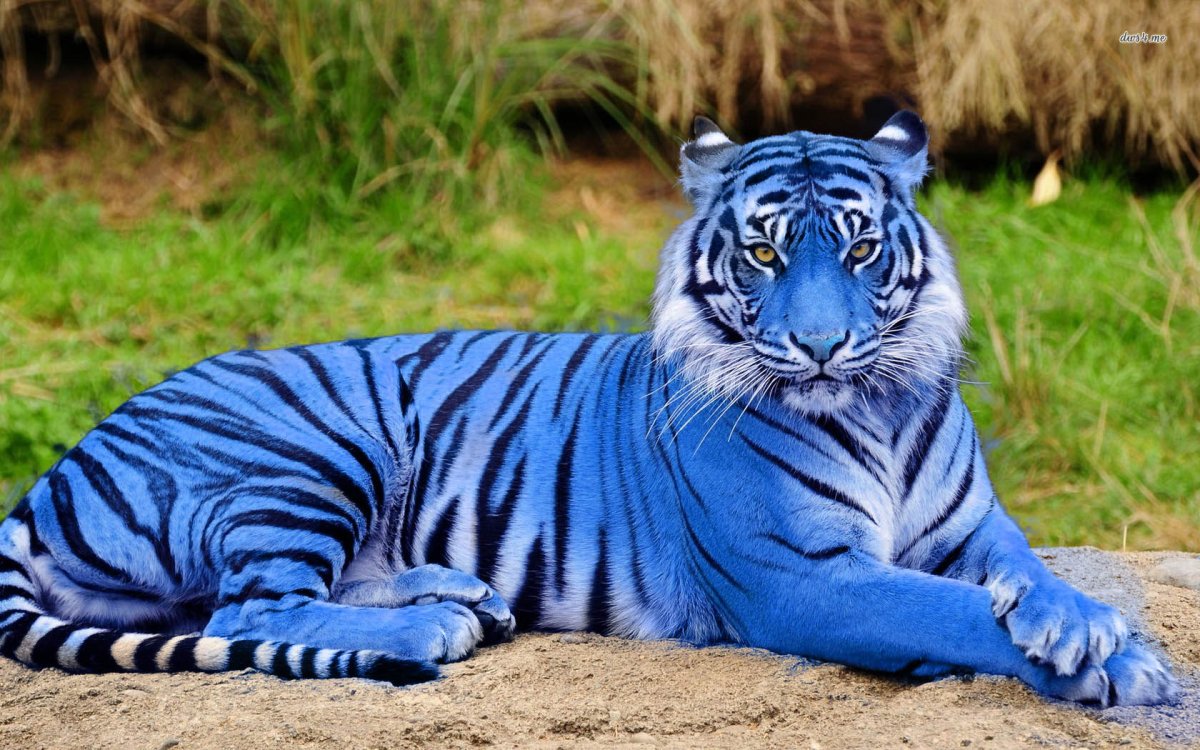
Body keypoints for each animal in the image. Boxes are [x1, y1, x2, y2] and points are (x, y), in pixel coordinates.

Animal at [0, 112, 1179, 706]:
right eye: (763, 253)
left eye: (856, 248)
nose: (819, 347)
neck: (878, 407)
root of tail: (55, 470)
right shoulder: (800, 579)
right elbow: (945, 611)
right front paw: (1122, 663)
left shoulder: (974, 526)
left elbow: (1025, 574)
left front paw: (1086, 623)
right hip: (309, 446)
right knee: (247, 611)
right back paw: (433, 623)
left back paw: (460, 593)